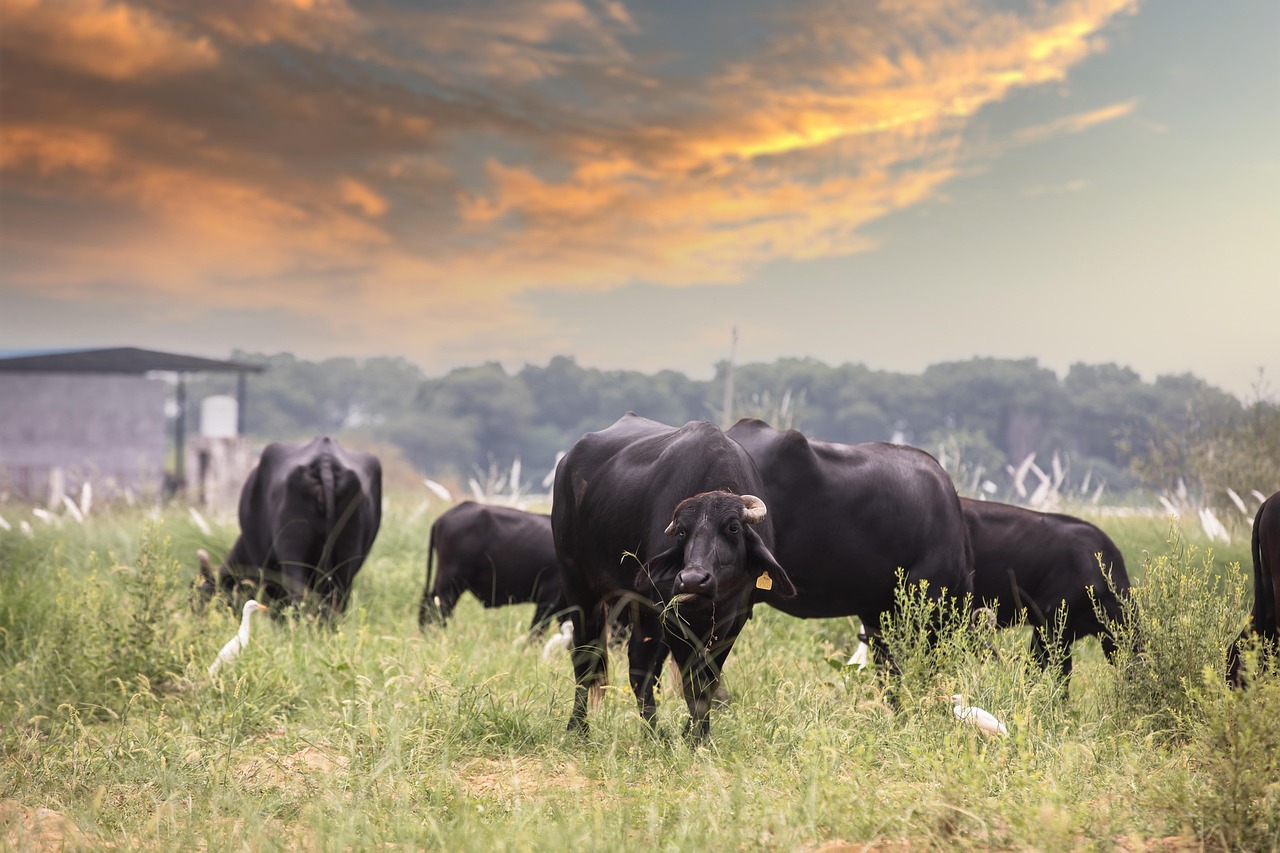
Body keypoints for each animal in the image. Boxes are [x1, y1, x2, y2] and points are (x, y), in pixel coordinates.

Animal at [552, 413, 795, 739]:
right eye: (682, 532)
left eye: (732, 528)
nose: (692, 579)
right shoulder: (674, 616)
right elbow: (693, 681)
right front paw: (693, 737)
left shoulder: (735, 618)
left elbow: (708, 680)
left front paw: (698, 734)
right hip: (578, 584)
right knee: (586, 657)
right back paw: (578, 728)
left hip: (639, 607)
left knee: (639, 664)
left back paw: (652, 732)